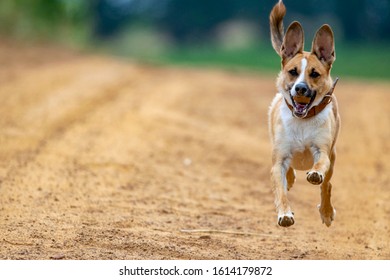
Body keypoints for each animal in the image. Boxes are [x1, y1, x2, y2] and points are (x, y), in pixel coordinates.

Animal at [266, 0, 340, 226]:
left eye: (314, 74)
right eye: (293, 72)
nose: (300, 88)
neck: (302, 121)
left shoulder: (322, 150)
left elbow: (320, 168)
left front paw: (315, 174)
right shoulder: (278, 161)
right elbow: (280, 191)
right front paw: (285, 214)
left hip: (333, 157)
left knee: (327, 186)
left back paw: (326, 211)